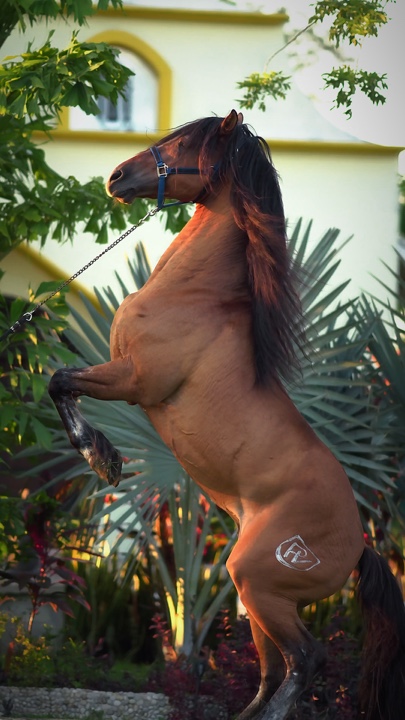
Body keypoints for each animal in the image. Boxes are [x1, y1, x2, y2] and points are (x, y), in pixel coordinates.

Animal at [49, 110, 405, 720]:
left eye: (183, 145)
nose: (117, 176)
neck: (196, 296)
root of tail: (361, 545)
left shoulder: (134, 380)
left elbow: (60, 381)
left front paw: (103, 457)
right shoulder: (122, 374)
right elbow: (61, 380)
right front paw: (104, 456)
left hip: (255, 583)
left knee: (305, 661)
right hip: (257, 598)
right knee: (272, 671)